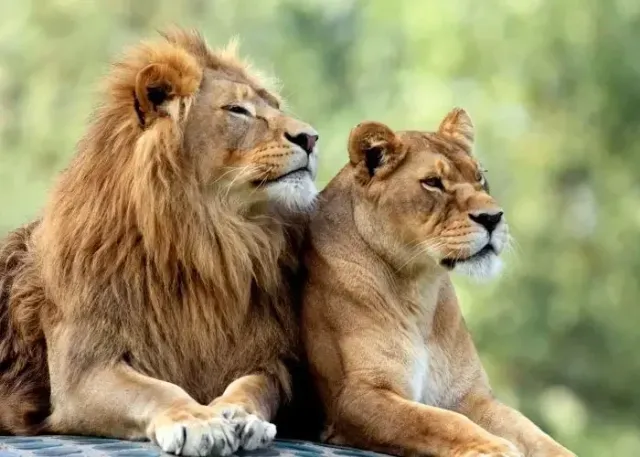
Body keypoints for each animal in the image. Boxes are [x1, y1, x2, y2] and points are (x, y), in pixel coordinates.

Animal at [0, 28, 320, 456]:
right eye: (237, 110)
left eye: (276, 106)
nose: (312, 138)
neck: (210, 240)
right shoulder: (82, 373)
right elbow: (156, 390)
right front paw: (198, 422)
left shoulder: (269, 360)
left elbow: (254, 387)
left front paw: (240, 416)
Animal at [300, 109, 576, 457]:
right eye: (433, 182)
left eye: (479, 177)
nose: (493, 217)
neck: (419, 288)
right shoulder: (356, 397)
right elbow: (438, 421)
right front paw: (494, 447)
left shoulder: (469, 395)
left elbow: (534, 433)